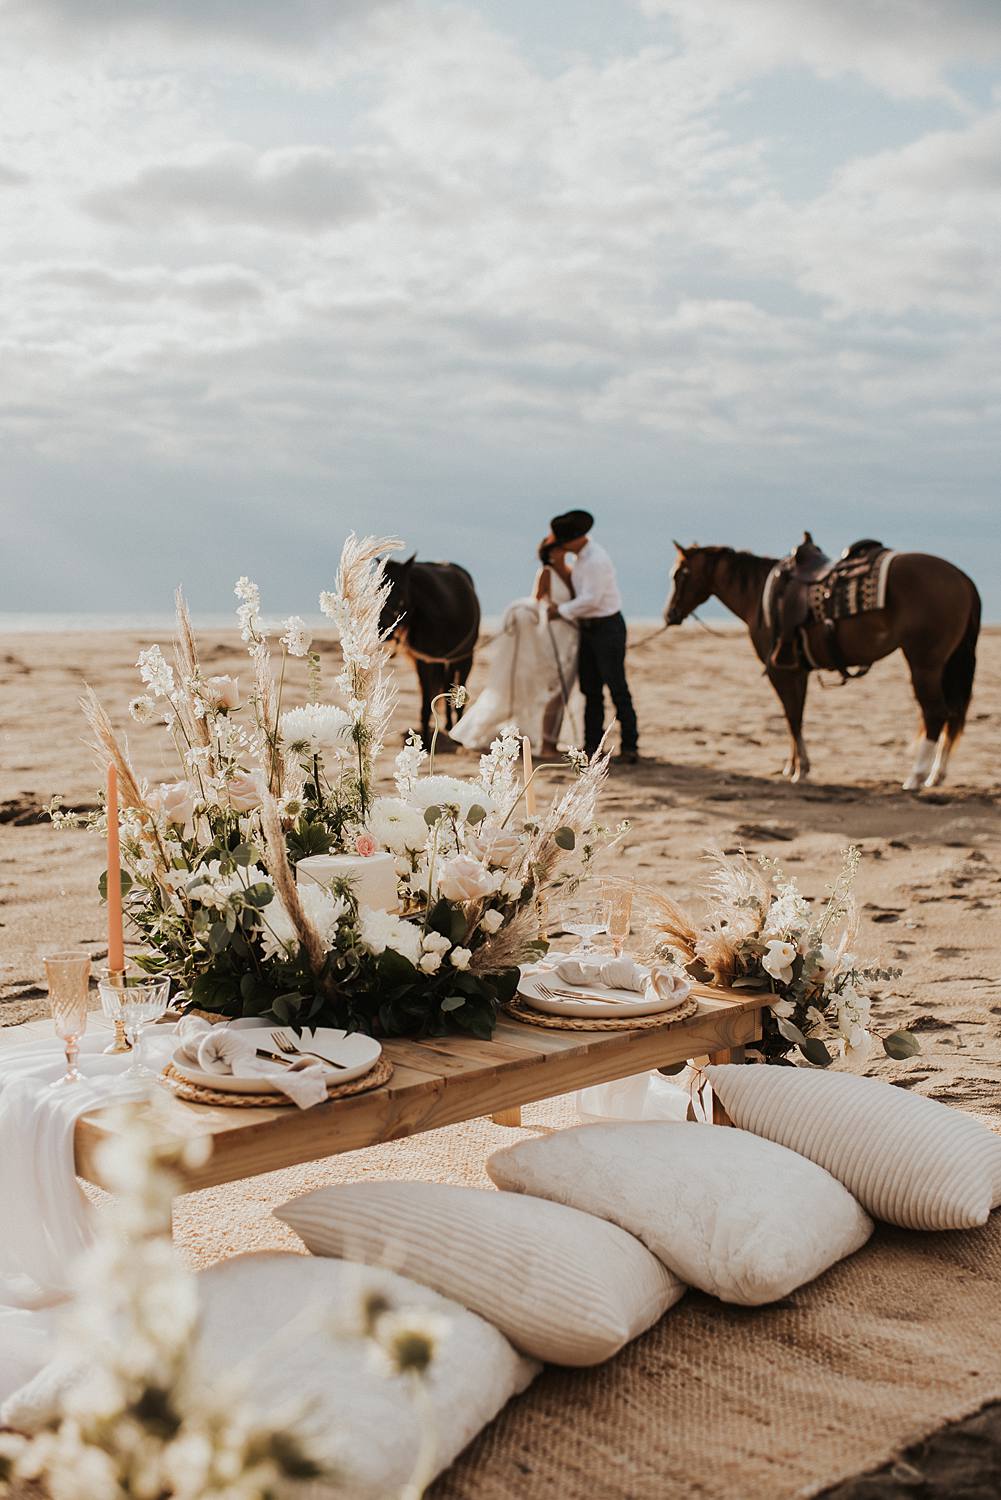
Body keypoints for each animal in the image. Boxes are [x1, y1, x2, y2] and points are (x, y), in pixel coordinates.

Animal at [379, 555, 480, 747]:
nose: (381, 630)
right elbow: (426, 704)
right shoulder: (425, 662)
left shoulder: (465, 659)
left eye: (400, 590)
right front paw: (425, 741)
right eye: (378, 589)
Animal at [666, 540, 978, 798]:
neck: (760, 596)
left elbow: (791, 717)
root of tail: (963, 579)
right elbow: (797, 716)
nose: (669, 614)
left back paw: (915, 776)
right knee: (952, 713)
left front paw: (799, 769)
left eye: (680, 574)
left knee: (935, 713)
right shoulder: (798, 670)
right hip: (947, 664)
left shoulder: (781, 671)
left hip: (924, 663)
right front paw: (794, 765)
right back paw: (936, 775)